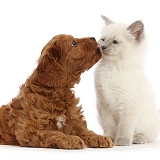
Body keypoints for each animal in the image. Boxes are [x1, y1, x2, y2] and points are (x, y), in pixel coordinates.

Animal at [94, 15, 159, 146]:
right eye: (103, 40)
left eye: (115, 42)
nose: (102, 47)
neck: (112, 67)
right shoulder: (103, 103)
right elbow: (109, 125)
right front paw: (109, 138)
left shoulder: (128, 104)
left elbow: (125, 126)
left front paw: (121, 140)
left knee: (148, 136)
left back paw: (137, 139)